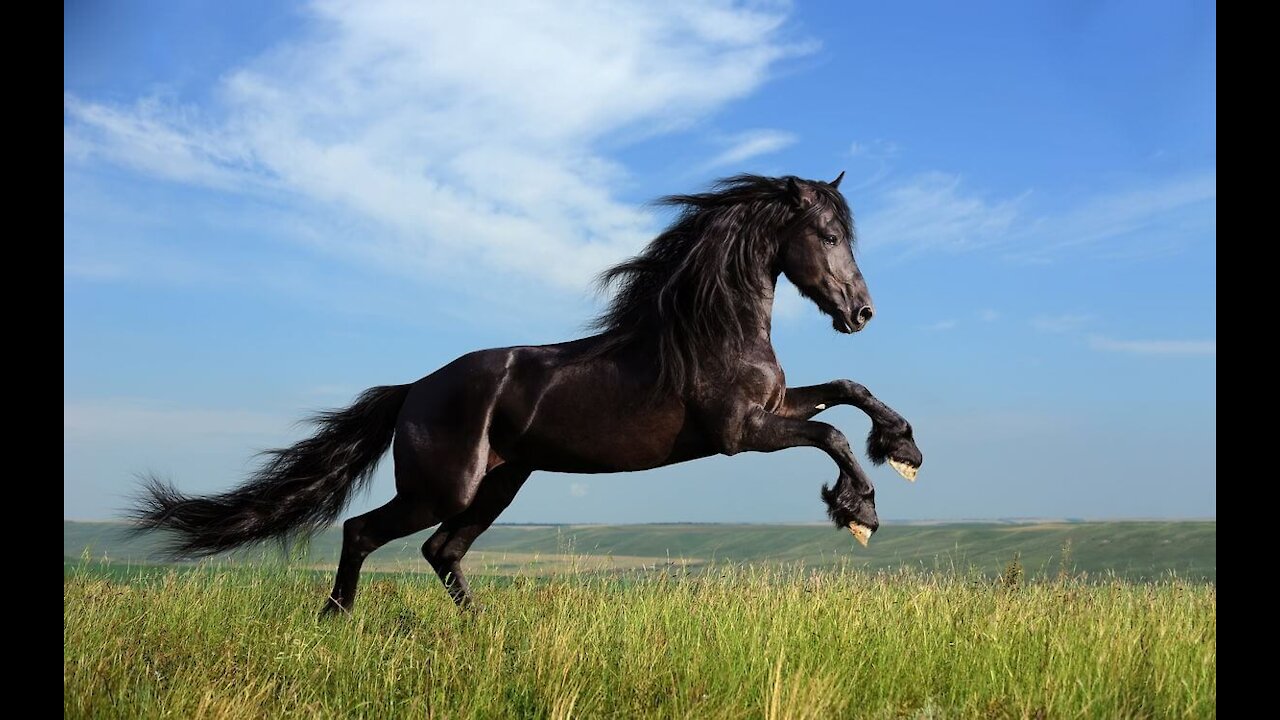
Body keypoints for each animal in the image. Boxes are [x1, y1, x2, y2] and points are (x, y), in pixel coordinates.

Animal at [132, 172, 921, 609]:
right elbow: (830, 432)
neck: (710, 330)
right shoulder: (740, 434)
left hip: (499, 484)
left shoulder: (770, 408)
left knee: (442, 552)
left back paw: (481, 632)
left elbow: (846, 389)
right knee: (365, 532)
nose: (861, 312)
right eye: (827, 235)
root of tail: (413, 389)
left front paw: (903, 448)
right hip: (443, 487)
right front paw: (859, 510)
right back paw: (335, 619)